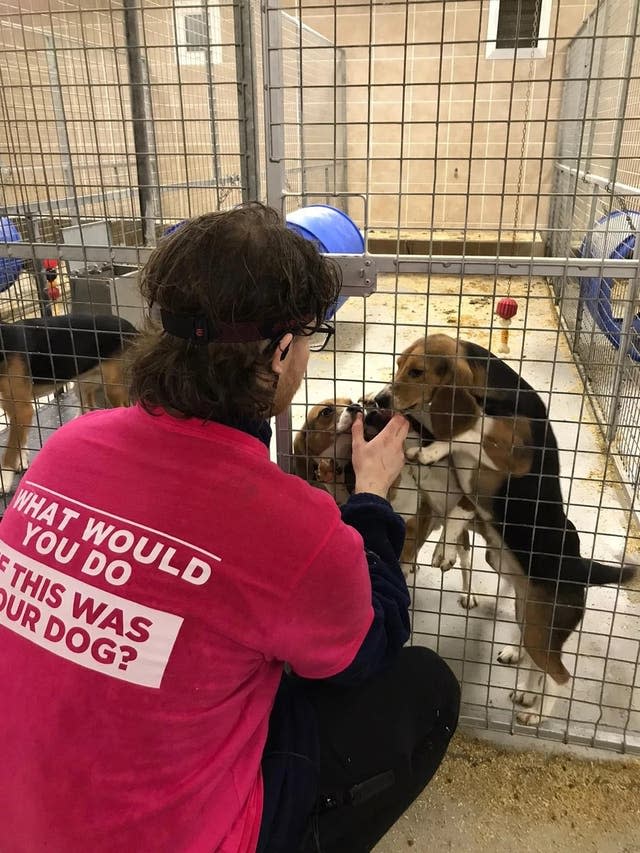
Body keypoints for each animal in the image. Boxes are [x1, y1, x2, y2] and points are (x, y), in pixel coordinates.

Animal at [0, 312, 138, 492]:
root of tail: (130, 327)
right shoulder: (10, 404)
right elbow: (18, 439)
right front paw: (21, 458)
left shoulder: (22, 409)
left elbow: (9, 450)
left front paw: (4, 478)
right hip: (80, 384)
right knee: (90, 408)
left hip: (113, 388)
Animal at [376, 332, 636, 724]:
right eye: (399, 364)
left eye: (417, 371)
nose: (380, 400)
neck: (495, 395)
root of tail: (581, 569)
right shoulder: (463, 490)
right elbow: (457, 509)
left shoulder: (511, 458)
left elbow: (474, 430)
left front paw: (433, 450)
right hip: (527, 612)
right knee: (535, 660)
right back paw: (524, 682)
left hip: (540, 623)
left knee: (560, 676)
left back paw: (538, 713)